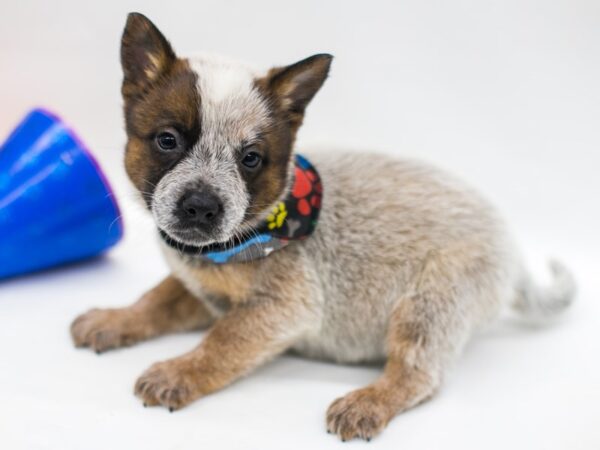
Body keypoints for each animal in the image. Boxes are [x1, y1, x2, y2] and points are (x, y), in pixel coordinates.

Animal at [70, 12, 576, 442]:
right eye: (167, 140)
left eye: (250, 159)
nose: (200, 207)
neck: (241, 240)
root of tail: (514, 253)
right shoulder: (200, 289)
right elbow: (155, 299)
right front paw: (114, 320)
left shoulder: (282, 309)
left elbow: (221, 343)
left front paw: (177, 373)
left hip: (429, 304)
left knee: (419, 373)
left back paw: (368, 402)